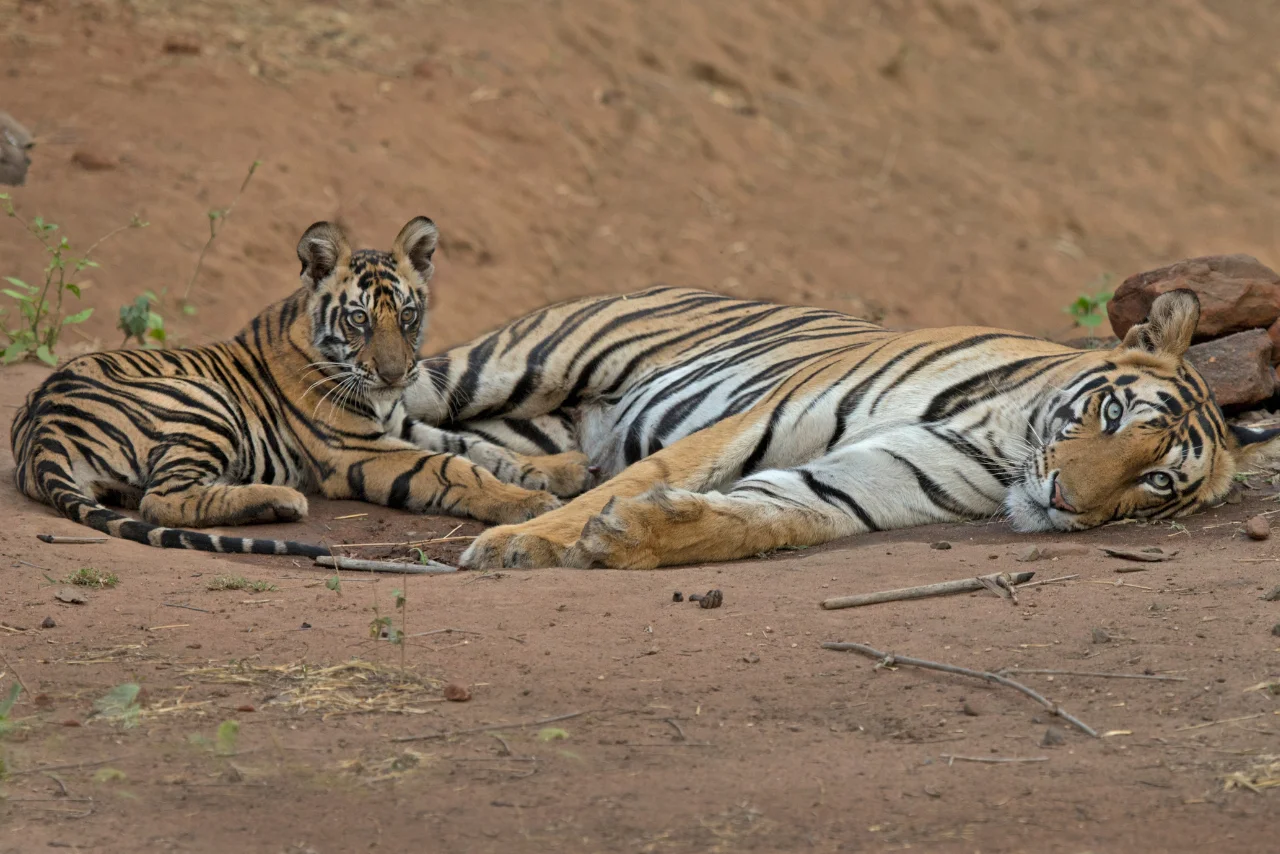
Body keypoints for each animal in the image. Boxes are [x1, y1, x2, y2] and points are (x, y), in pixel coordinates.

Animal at [10, 217, 593, 556]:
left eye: (407, 315)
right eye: (359, 319)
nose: (395, 375)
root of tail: (41, 429)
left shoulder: (399, 424)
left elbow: (478, 445)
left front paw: (562, 469)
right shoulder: (357, 450)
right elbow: (455, 465)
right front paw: (527, 503)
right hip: (205, 403)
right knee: (162, 501)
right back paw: (282, 500)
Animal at [399, 285, 1280, 570]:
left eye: (1156, 480)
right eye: (1112, 413)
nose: (1065, 499)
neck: (1004, 442)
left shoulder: (867, 483)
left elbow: (766, 518)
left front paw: (638, 537)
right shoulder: (750, 419)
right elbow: (652, 473)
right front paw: (529, 543)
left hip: (525, 424)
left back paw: (522, 481)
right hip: (512, 364)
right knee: (379, 409)